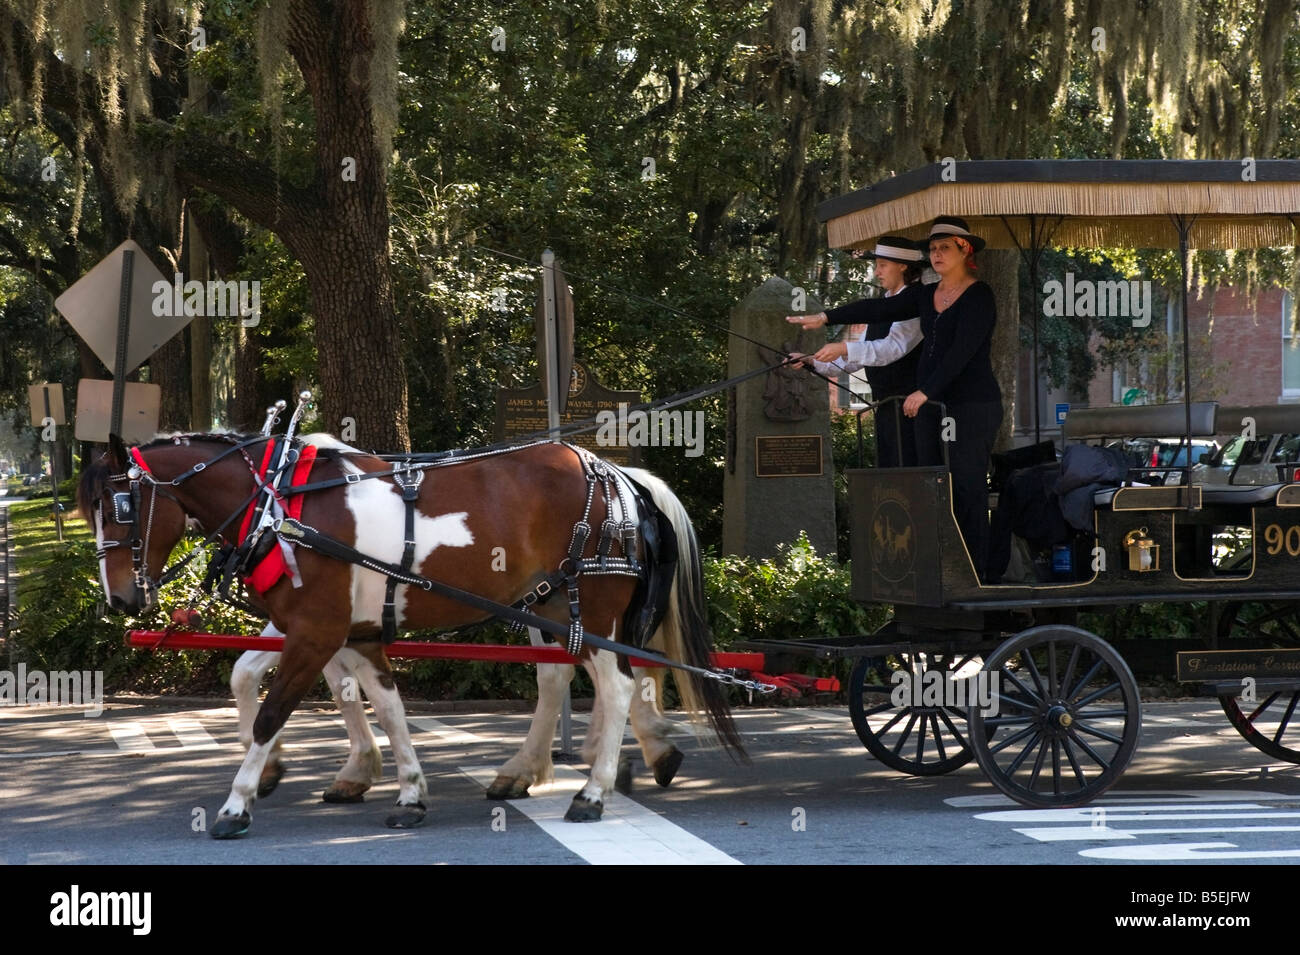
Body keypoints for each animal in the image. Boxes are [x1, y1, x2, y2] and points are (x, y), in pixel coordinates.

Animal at [78, 433, 743, 836]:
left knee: (617, 683)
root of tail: (611, 470)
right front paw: (406, 791)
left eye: (119, 507)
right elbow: (384, 705)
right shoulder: (352, 632)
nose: (120, 598)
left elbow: (273, 712)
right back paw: (539, 769)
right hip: (551, 602)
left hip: (594, 608)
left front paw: (237, 800)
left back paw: (595, 790)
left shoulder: (316, 631)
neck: (282, 505)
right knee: (562, 678)